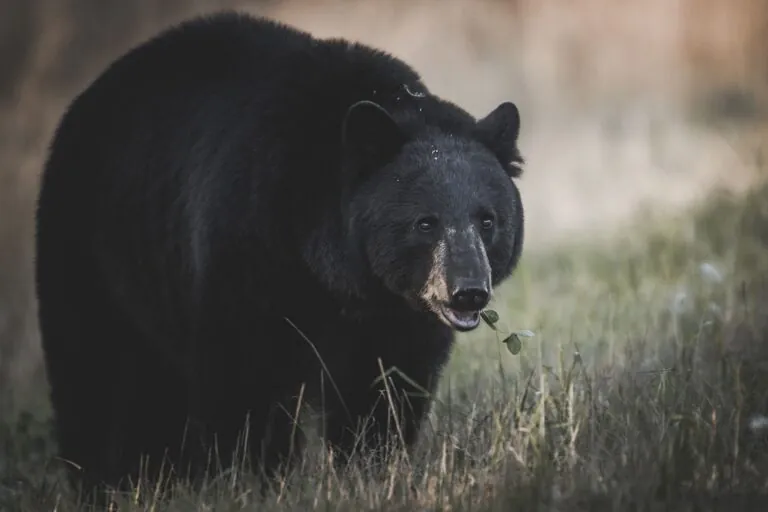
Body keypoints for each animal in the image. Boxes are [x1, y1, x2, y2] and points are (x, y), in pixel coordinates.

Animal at [36, 10, 528, 502]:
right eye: (425, 223)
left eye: (488, 220)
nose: (468, 292)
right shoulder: (246, 243)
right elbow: (245, 377)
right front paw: (253, 478)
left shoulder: (396, 316)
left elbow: (385, 388)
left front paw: (372, 470)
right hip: (89, 244)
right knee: (92, 371)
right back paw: (102, 481)